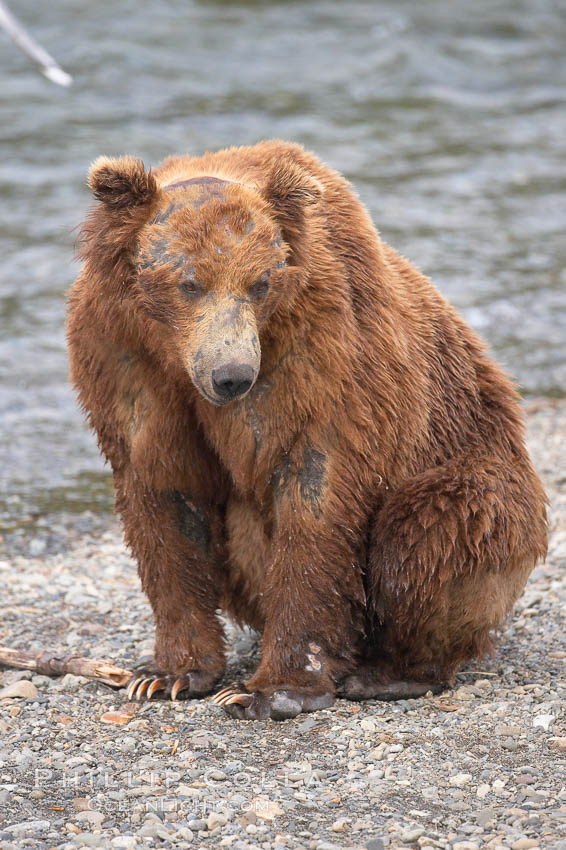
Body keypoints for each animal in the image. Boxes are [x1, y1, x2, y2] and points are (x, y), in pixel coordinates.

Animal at [67, 139, 548, 720]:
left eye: (260, 283)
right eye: (190, 282)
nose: (231, 375)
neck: (176, 356)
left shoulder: (322, 358)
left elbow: (314, 498)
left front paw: (268, 690)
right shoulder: (126, 361)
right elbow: (167, 499)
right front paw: (167, 675)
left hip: (478, 465)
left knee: (431, 532)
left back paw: (387, 673)